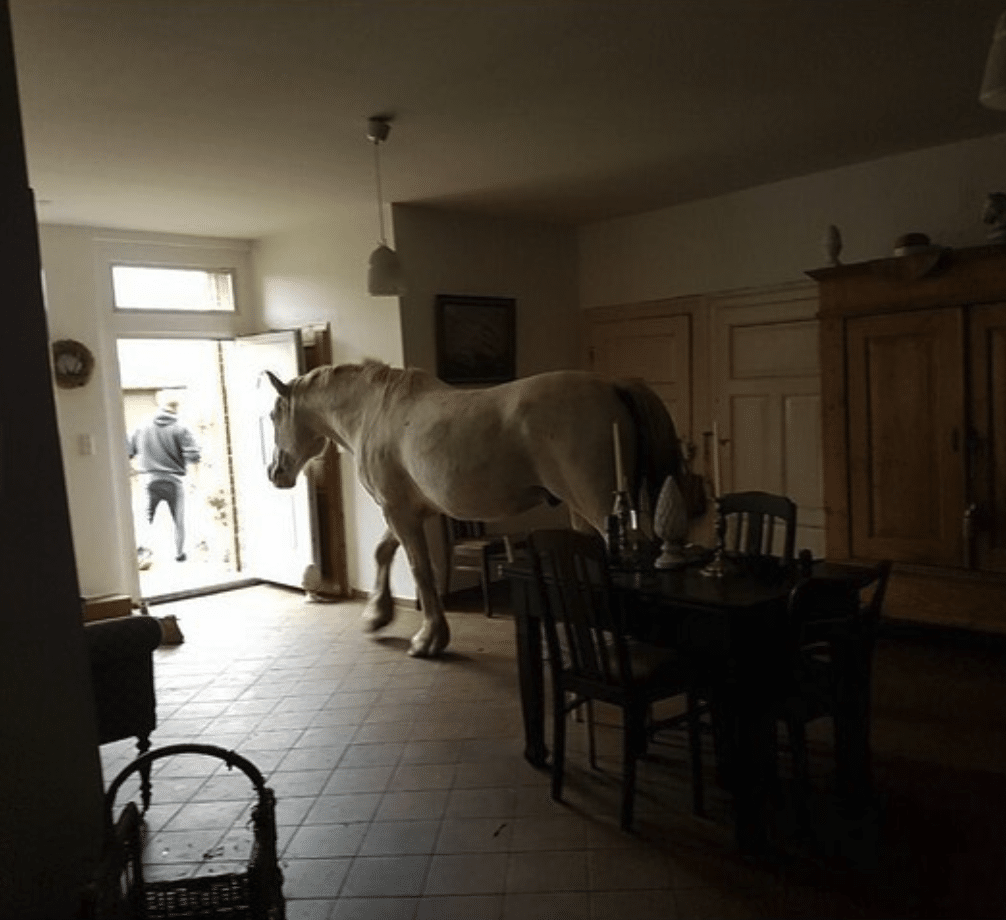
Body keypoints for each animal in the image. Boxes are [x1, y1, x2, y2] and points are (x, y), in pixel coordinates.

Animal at [265, 359, 684, 655]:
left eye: (273, 415)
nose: (275, 472)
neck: (375, 411)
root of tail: (612, 384)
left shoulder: (399, 512)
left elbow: (420, 570)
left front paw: (428, 639)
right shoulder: (408, 510)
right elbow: (383, 552)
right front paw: (377, 616)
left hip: (599, 507)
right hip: (584, 512)